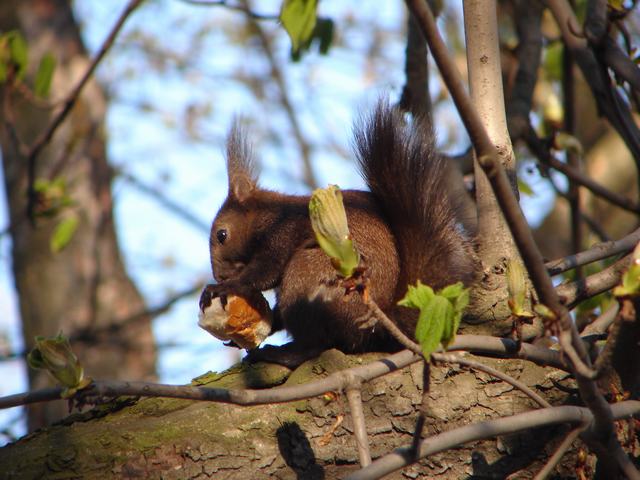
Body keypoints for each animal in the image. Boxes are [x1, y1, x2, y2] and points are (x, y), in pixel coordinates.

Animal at [202, 99, 478, 366]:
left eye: (222, 235)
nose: (220, 275)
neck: (271, 215)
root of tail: (378, 325)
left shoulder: (282, 234)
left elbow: (264, 272)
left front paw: (225, 287)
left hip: (307, 276)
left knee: (315, 344)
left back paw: (280, 355)